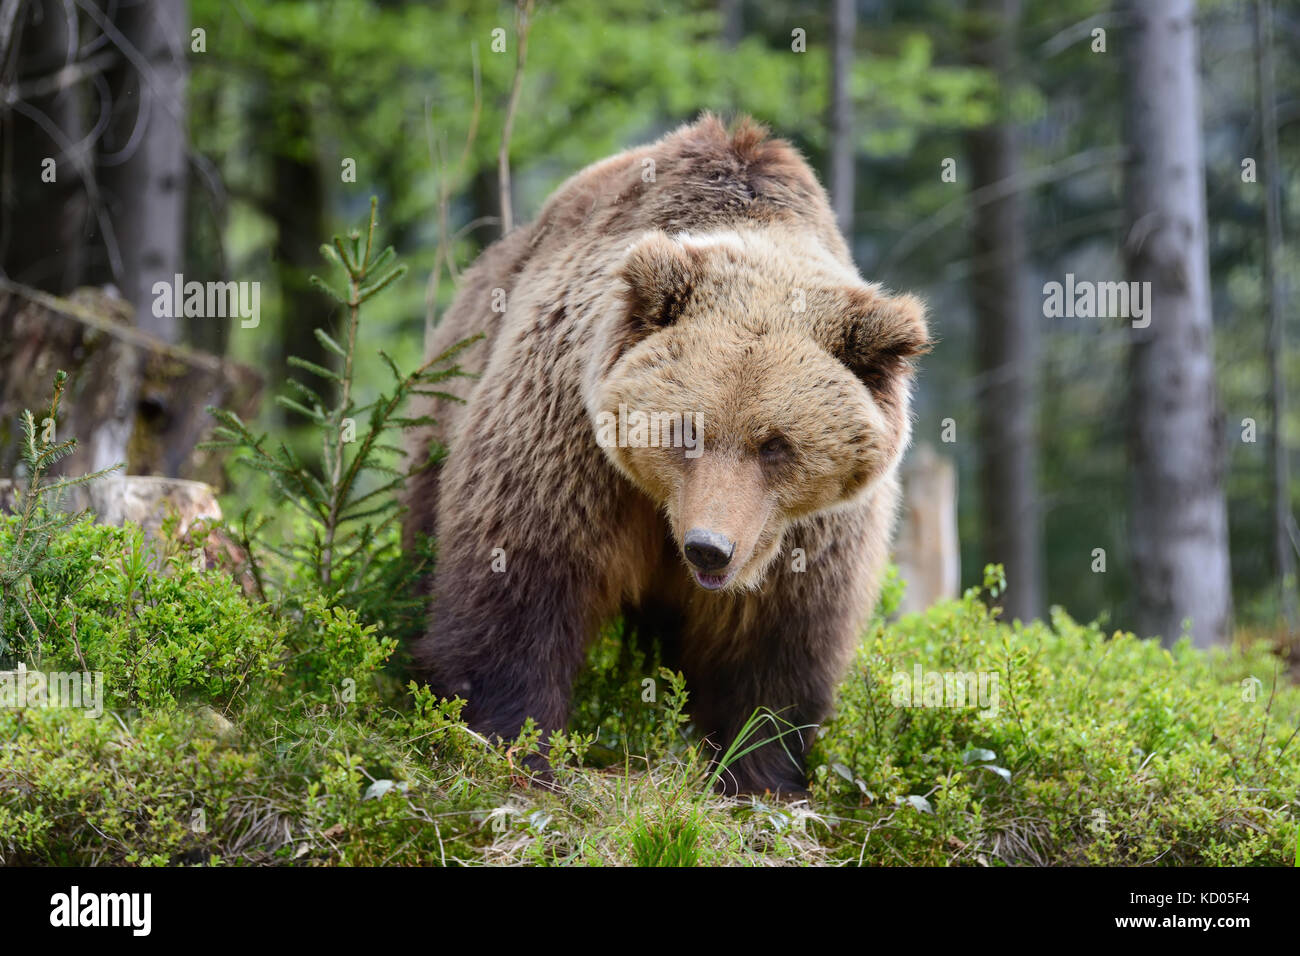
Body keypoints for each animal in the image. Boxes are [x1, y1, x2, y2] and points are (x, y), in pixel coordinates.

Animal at [402, 114, 928, 795]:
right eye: (687, 431)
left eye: (777, 444)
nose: (709, 547)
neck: (662, 511)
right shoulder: (570, 445)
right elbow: (521, 585)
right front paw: (510, 744)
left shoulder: (805, 533)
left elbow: (775, 647)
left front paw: (761, 774)